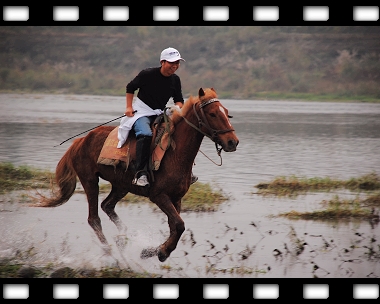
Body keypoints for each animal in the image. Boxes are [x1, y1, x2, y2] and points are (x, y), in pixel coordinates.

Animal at [35, 87, 238, 262]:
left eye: (227, 112)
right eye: (212, 113)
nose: (232, 142)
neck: (175, 152)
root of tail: (81, 140)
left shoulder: (176, 197)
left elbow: (175, 227)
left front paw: (154, 251)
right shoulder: (159, 196)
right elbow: (179, 225)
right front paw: (161, 251)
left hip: (121, 186)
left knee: (107, 206)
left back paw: (124, 237)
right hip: (89, 180)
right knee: (94, 218)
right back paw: (111, 253)